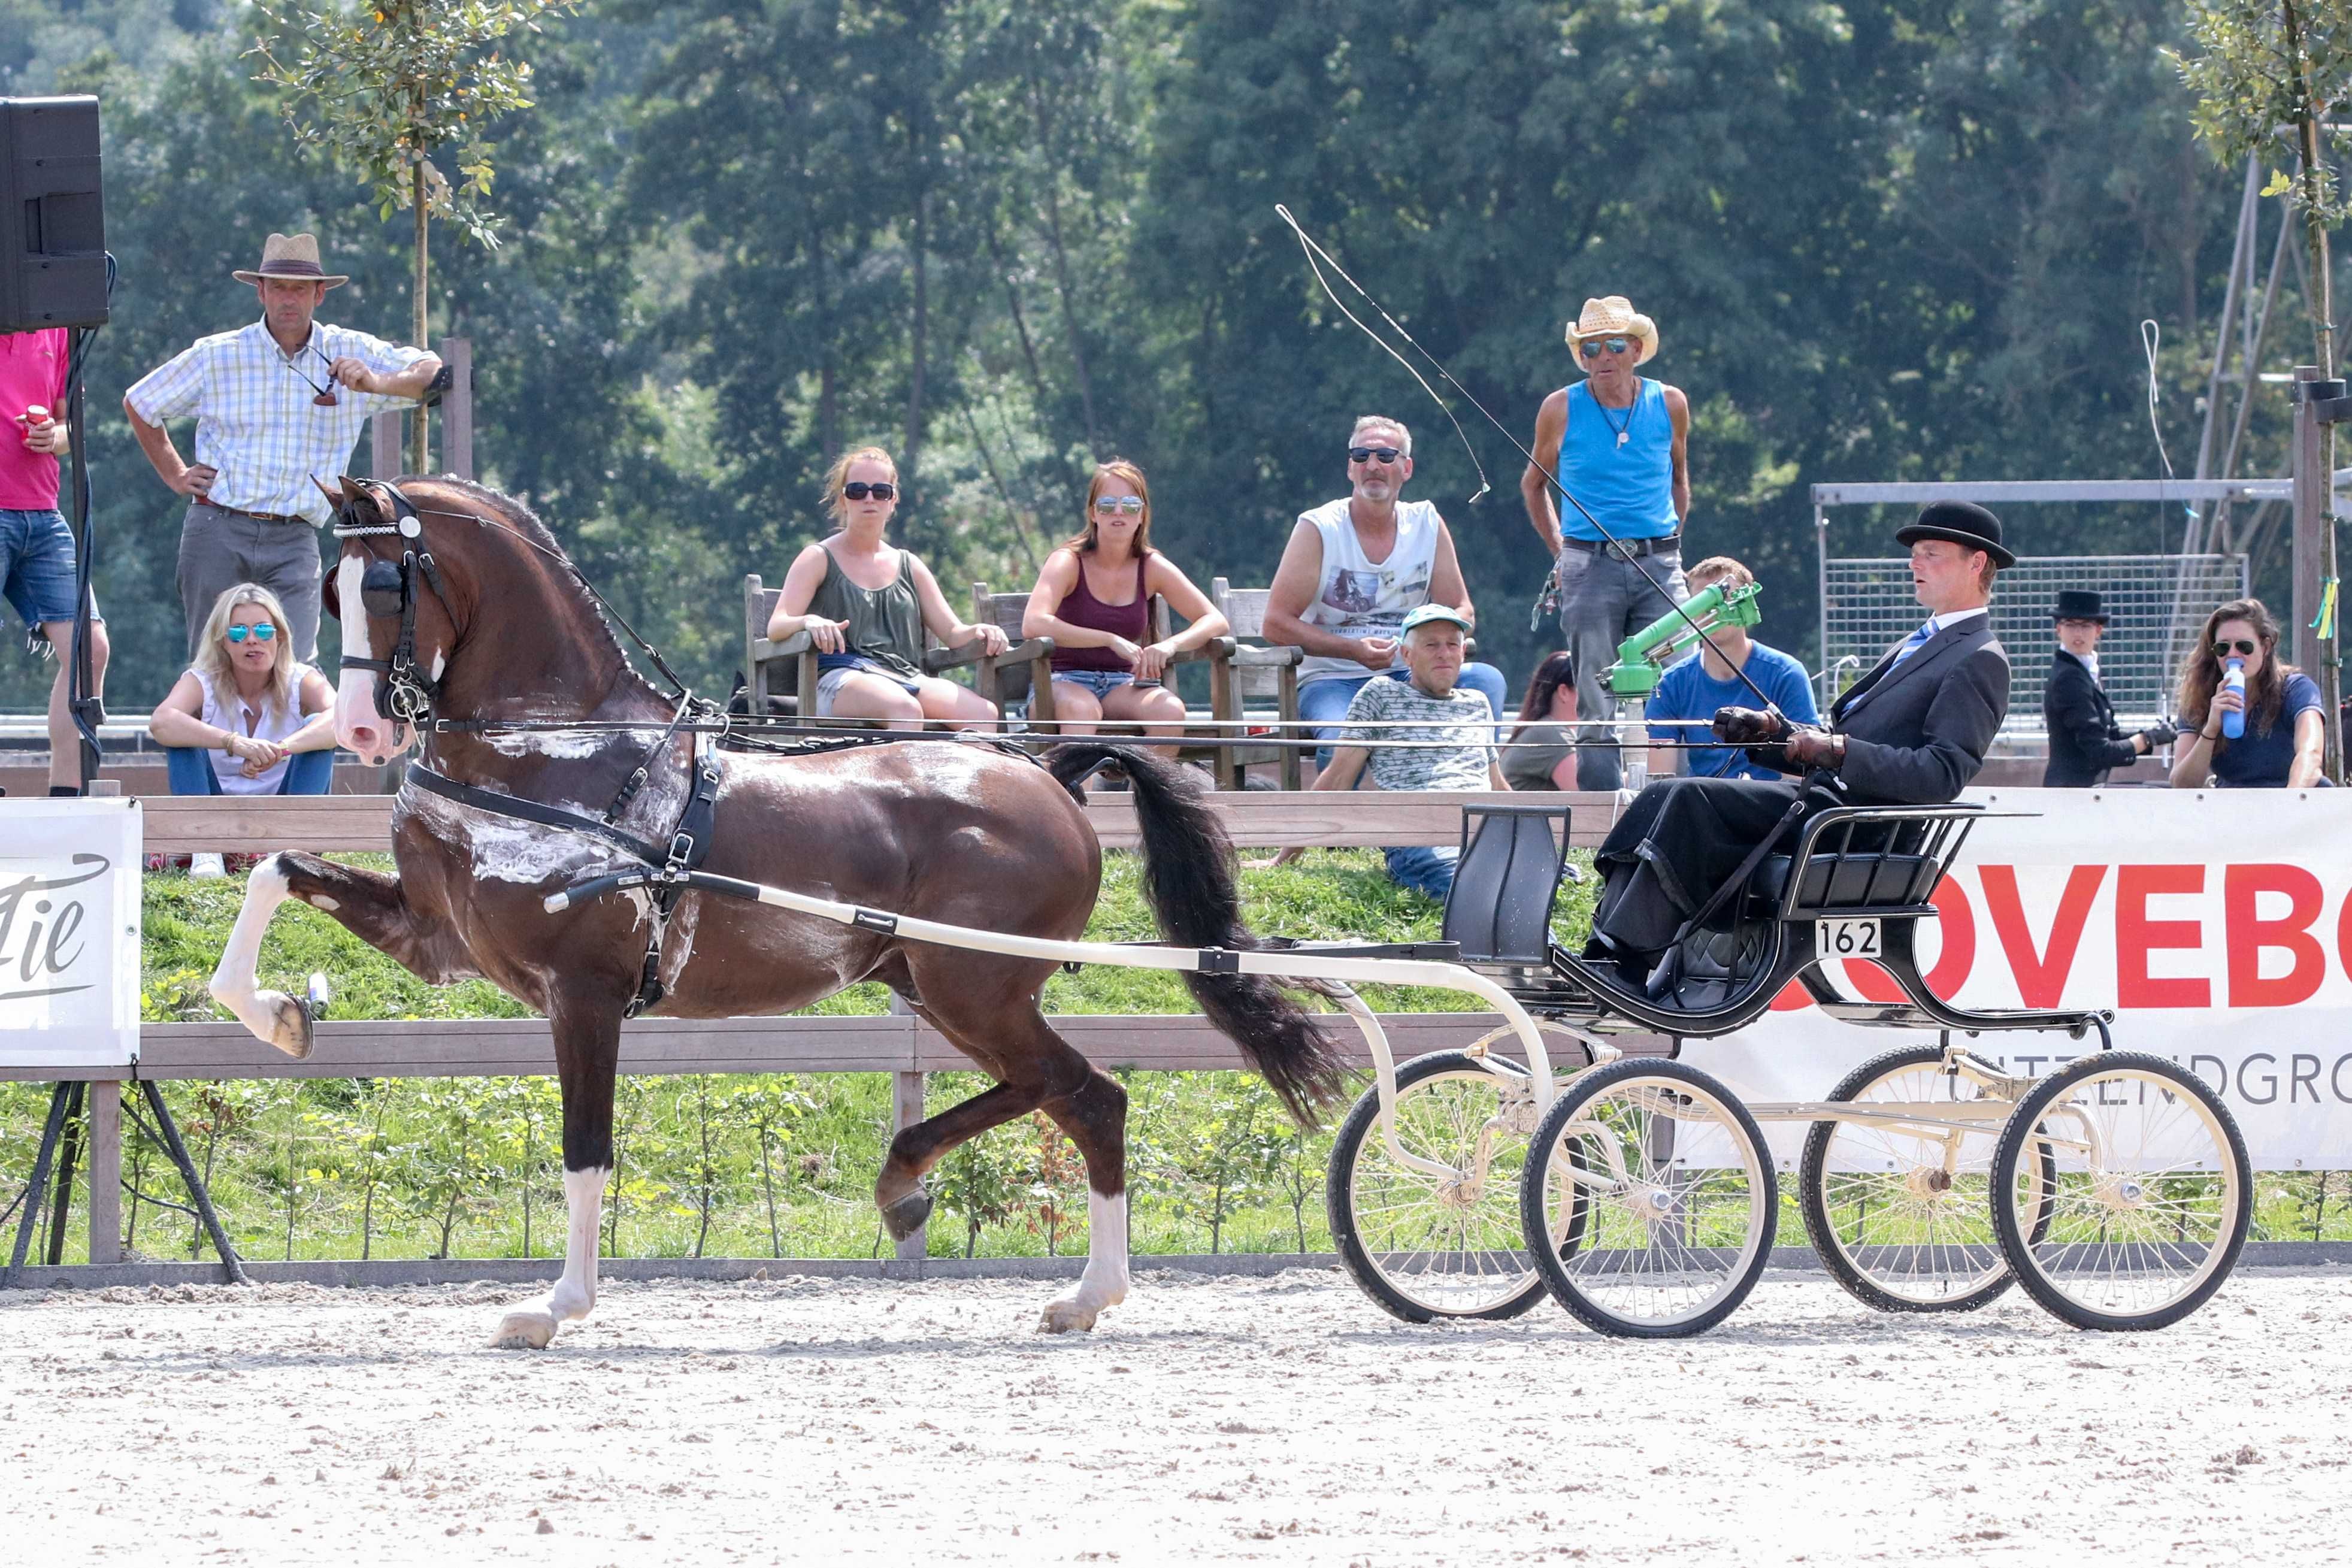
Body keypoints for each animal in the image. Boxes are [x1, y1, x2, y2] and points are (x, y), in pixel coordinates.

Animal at [211, 479, 1354, 1354]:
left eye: (386, 584)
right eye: (328, 591)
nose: (360, 728)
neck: (557, 754)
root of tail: (1051, 774)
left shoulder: (582, 994)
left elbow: (587, 1147)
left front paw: (556, 1306)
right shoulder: (437, 938)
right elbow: (274, 869)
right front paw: (277, 1013)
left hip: (972, 989)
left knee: (1083, 1094)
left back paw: (1051, 1270)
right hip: (939, 988)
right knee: (1066, 1093)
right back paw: (955, 1214)